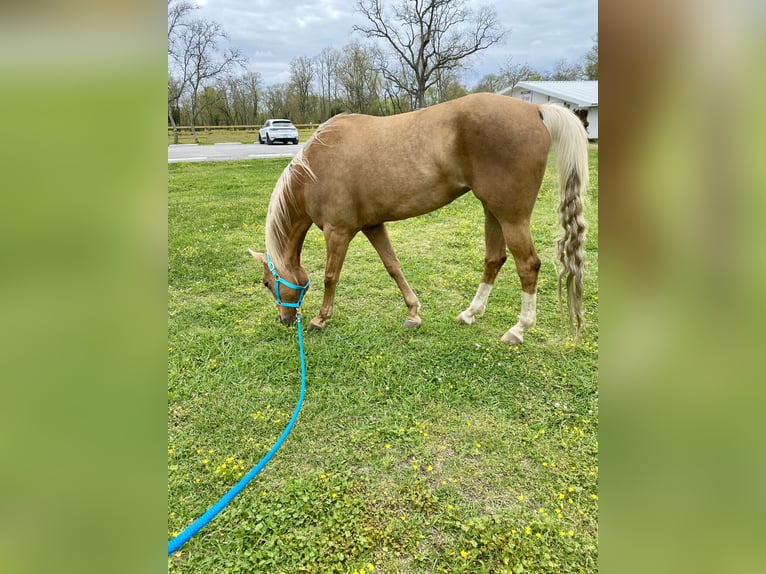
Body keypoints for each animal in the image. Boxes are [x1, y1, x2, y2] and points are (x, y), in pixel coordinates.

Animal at [249, 93, 592, 346]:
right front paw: (413, 313)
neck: (314, 171)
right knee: (495, 259)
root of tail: (535, 109)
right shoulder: (372, 226)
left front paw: (320, 319)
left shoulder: (338, 232)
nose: (284, 319)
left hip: (511, 216)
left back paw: (518, 330)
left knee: (528, 265)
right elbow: (393, 266)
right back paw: (470, 314)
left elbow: (330, 276)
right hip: (492, 211)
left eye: (267, 282)